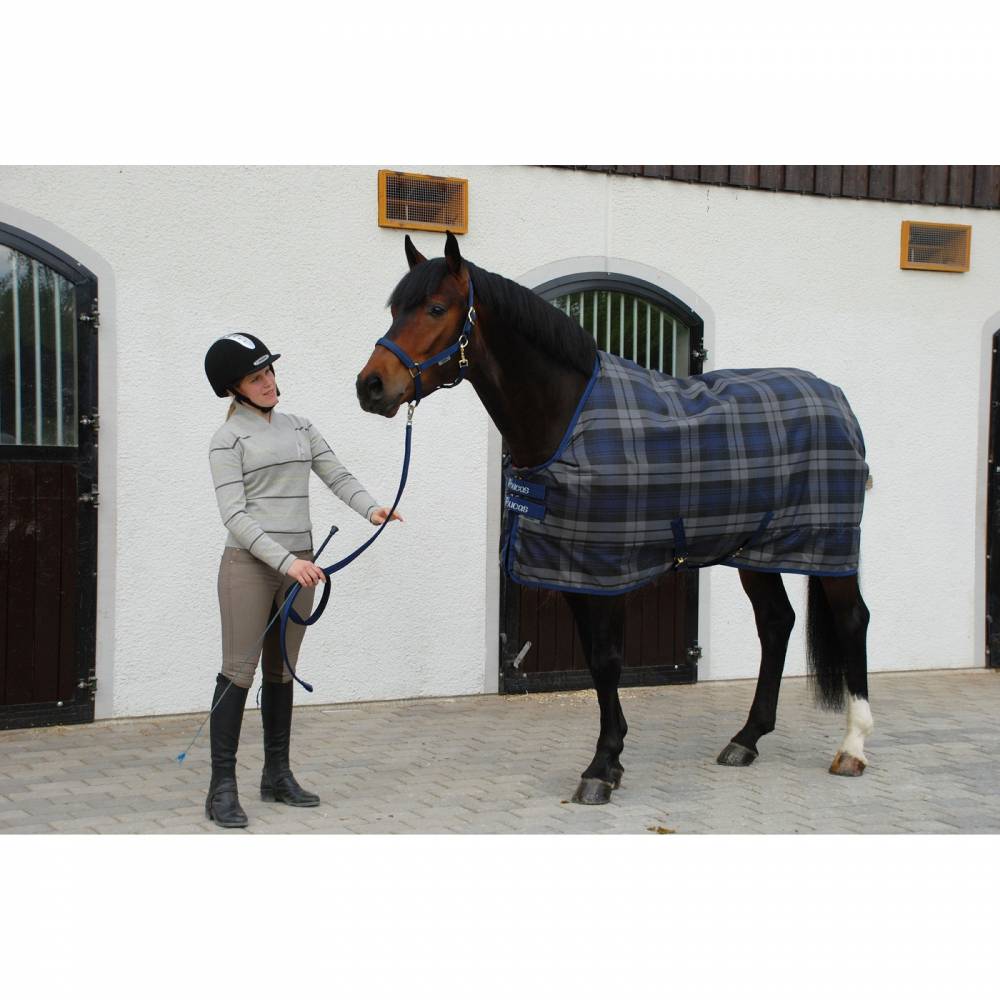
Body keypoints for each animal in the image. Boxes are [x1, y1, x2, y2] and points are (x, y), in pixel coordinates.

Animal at [356, 232, 872, 805]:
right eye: (395, 309)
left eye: (436, 308)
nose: (370, 386)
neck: (567, 419)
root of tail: (838, 400)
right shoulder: (573, 568)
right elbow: (594, 660)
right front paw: (612, 758)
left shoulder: (608, 568)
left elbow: (607, 661)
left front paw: (602, 767)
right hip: (754, 551)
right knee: (776, 623)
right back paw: (746, 739)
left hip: (831, 546)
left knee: (852, 620)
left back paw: (852, 748)